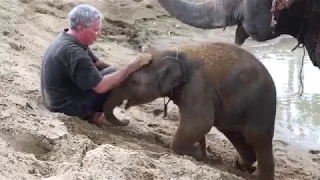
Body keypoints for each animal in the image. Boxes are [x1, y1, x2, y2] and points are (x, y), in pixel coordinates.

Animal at [104, 41, 276, 180]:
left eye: (134, 81)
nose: (126, 120)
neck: (173, 52)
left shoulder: (197, 85)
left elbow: (200, 122)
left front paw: (199, 154)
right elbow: (198, 125)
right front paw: (201, 152)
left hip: (261, 107)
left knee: (257, 138)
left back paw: (257, 175)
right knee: (235, 135)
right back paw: (239, 166)